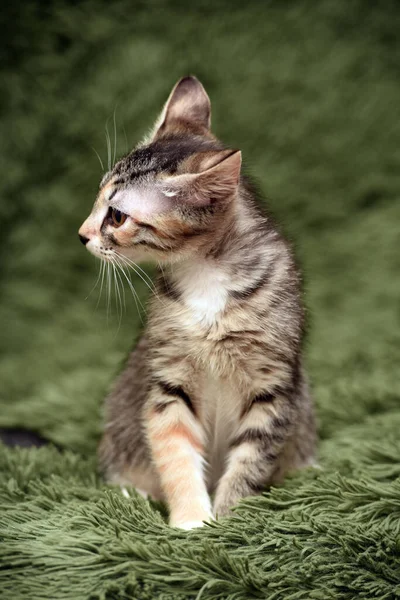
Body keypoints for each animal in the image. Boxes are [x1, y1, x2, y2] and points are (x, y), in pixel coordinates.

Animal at [78, 75, 316, 528]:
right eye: (97, 198)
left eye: (116, 216)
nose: (81, 234)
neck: (207, 277)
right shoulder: (168, 383)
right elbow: (175, 453)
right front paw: (191, 521)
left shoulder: (274, 385)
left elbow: (249, 462)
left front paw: (230, 519)